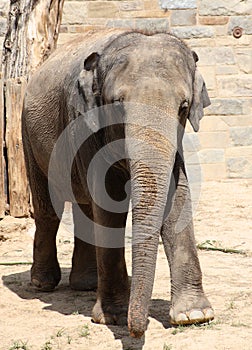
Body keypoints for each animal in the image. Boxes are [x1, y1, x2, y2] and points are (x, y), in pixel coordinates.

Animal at [22, 28, 215, 338]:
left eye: (183, 108)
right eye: (117, 105)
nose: (139, 329)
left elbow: (178, 198)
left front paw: (194, 316)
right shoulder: (85, 124)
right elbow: (108, 202)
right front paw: (113, 317)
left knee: (85, 208)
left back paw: (86, 285)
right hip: (27, 134)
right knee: (48, 210)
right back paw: (43, 283)